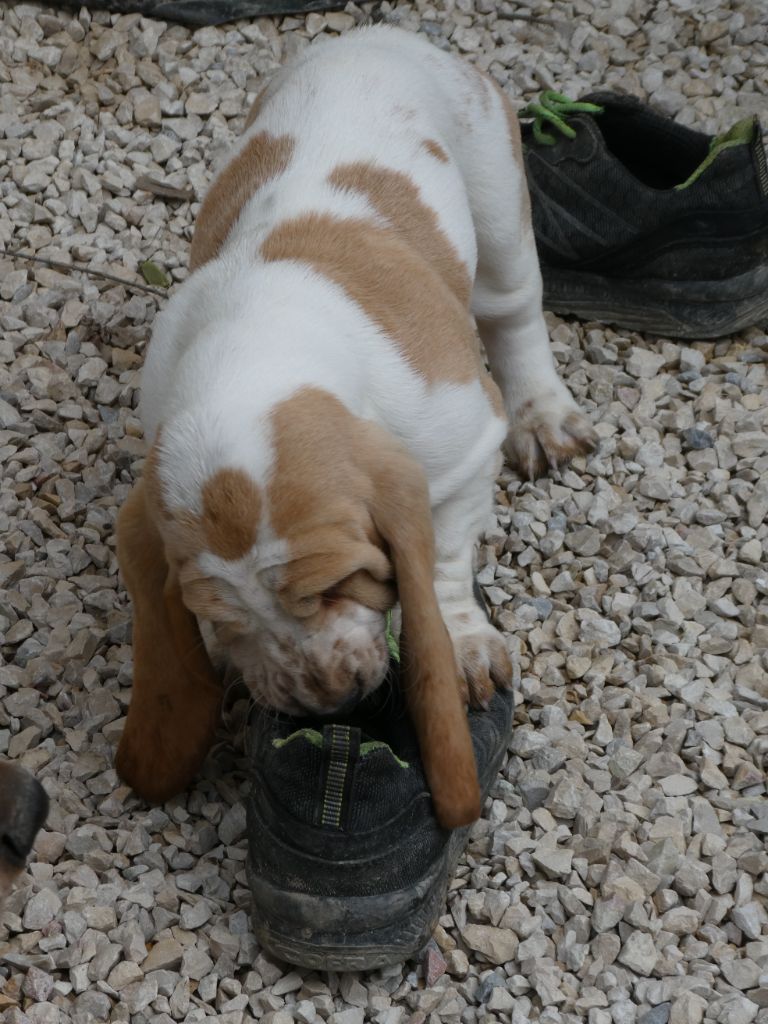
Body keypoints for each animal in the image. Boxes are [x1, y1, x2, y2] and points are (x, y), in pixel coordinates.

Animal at [117, 25, 598, 823]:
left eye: (340, 583)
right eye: (220, 617)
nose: (326, 700)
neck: (258, 347)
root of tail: (385, 33)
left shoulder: (467, 450)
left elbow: (443, 557)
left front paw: (460, 646)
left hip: (500, 207)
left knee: (515, 312)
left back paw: (544, 413)